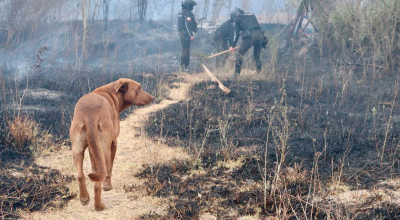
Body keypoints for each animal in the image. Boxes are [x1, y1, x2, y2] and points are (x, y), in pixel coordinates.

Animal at [70, 78, 153, 211]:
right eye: (138, 88)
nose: (152, 97)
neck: (112, 93)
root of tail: (90, 114)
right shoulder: (113, 144)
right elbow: (109, 169)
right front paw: (108, 186)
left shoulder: (93, 148)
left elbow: (95, 165)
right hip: (104, 148)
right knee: (99, 182)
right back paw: (99, 205)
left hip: (77, 148)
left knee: (80, 175)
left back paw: (84, 198)